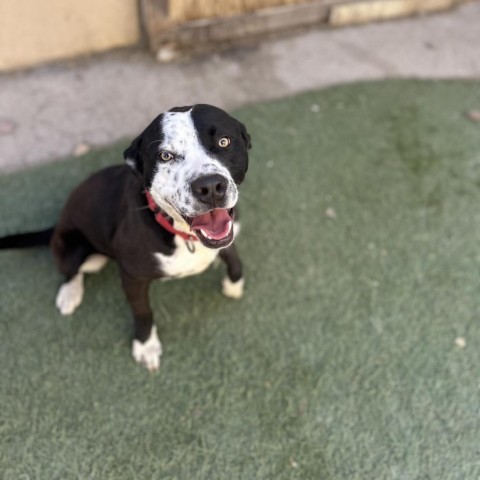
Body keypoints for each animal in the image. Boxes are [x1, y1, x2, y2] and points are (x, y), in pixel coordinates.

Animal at [0, 105, 253, 372]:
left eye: (224, 141)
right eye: (165, 156)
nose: (211, 187)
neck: (182, 234)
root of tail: (57, 223)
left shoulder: (229, 234)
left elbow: (234, 259)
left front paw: (233, 285)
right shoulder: (133, 278)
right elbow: (143, 312)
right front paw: (145, 346)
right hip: (77, 250)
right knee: (71, 271)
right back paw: (70, 293)